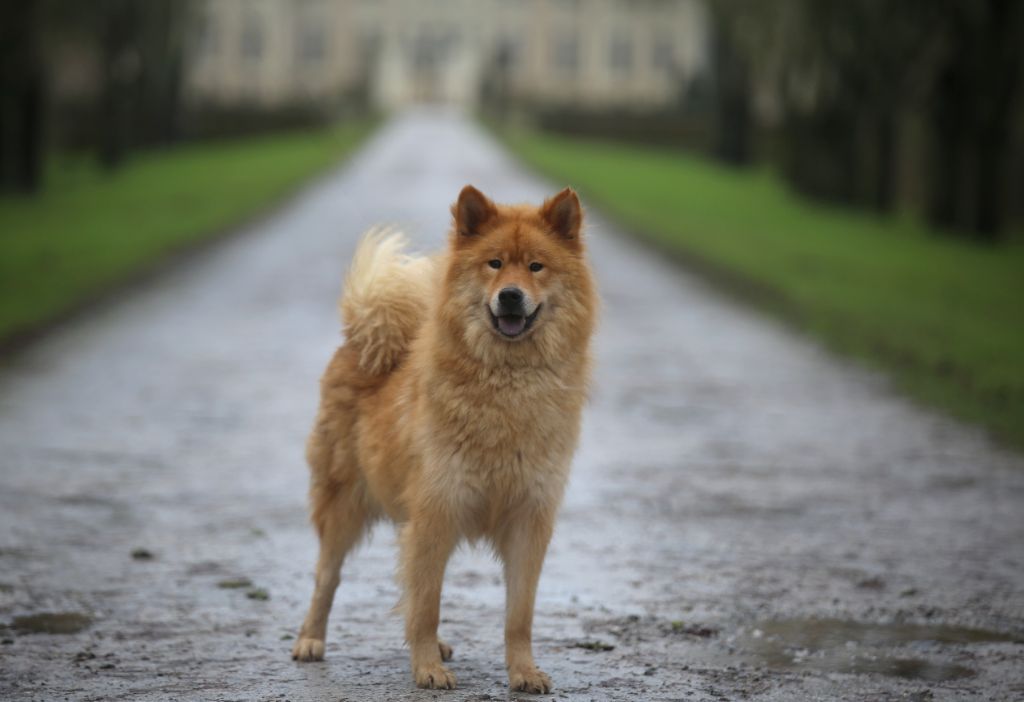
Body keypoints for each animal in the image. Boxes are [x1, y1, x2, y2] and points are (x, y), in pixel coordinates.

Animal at [292, 184, 598, 695]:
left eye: (536, 266)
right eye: (494, 263)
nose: (510, 296)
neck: (507, 385)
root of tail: (363, 339)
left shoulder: (527, 519)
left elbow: (518, 615)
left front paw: (523, 671)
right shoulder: (437, 512)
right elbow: (427, 605)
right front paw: (427, 669)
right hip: (343, 505)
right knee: (326, 579)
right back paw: (310, 640)